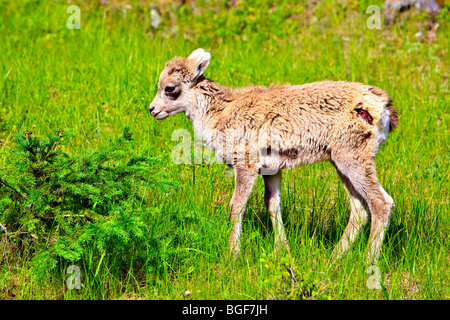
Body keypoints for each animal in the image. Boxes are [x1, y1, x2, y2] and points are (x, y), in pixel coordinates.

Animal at [149, 48, 400, 262]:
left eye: (169, 88)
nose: (152, 110)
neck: (219, 114)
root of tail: (383, 107)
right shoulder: (271, 171)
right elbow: (273, 205)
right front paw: (282, 250)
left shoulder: (246, 165)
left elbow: (237, 205)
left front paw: (234, 253)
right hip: (341, 165)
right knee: (359, 209)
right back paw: (333, 258)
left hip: (354, 161)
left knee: (381, 203)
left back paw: (368, 262)